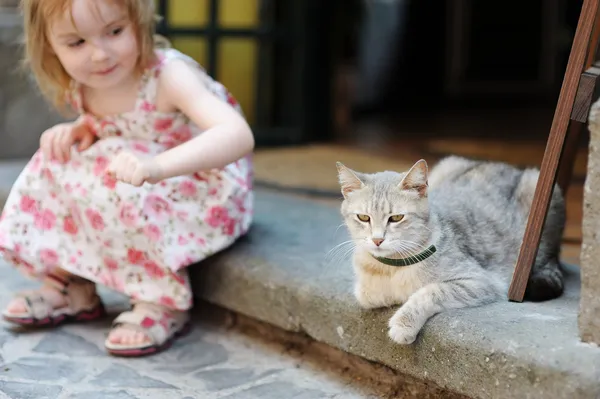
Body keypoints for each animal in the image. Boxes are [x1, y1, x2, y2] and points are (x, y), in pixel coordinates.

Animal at [338, 155, 568, 344]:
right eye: (363, 217)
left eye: (396, 218)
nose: (377, 240)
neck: (392, 268)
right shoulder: (366, 290)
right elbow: (372, 294)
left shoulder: (481, 281)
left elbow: (430, 291)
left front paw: (404, 322)